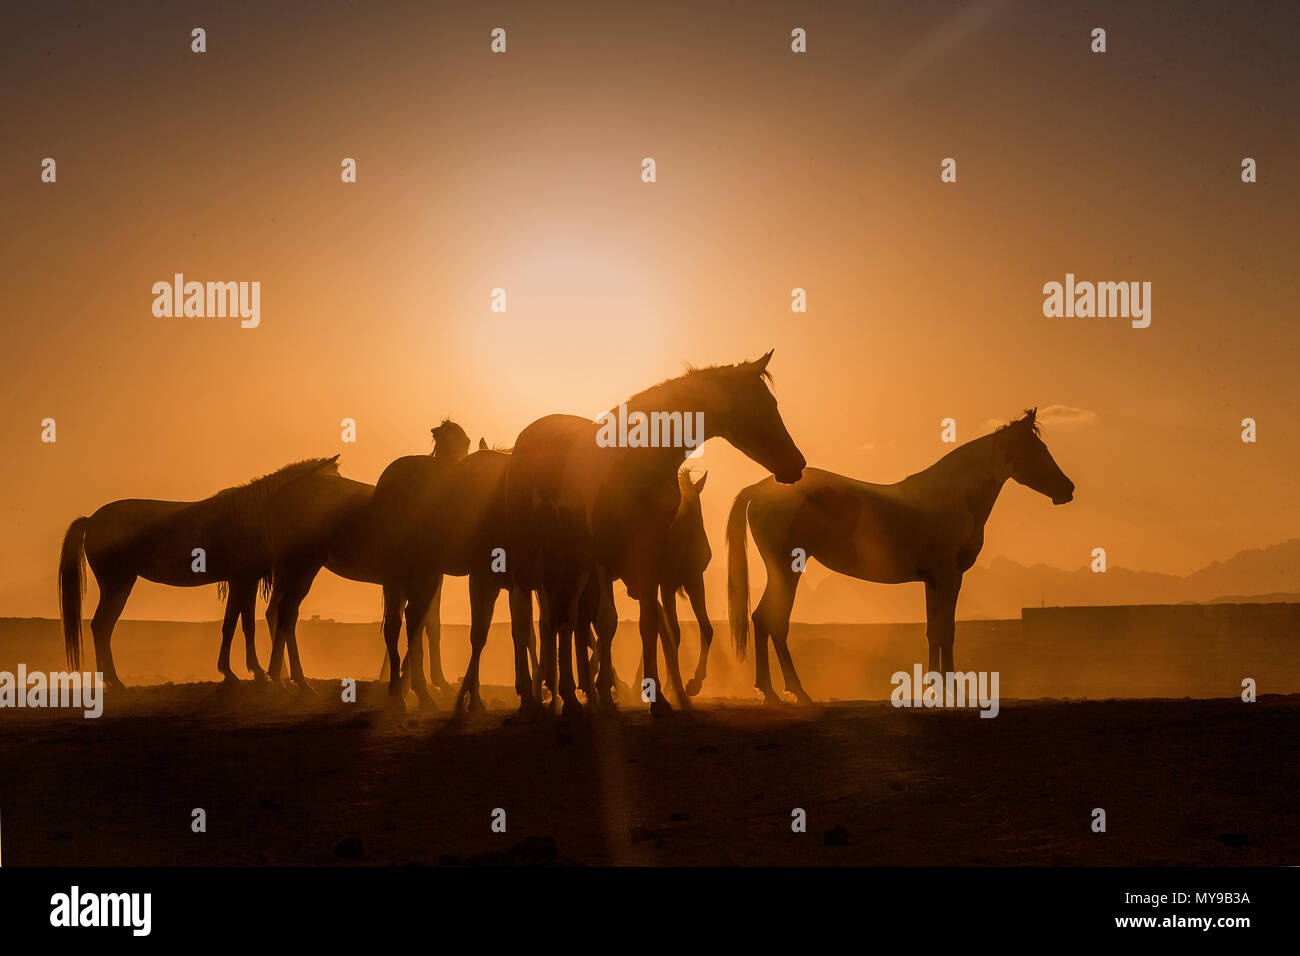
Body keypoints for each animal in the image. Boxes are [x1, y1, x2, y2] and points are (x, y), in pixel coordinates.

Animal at [57, 457, 340, 686]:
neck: (258, 513)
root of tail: (91, 520)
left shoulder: (240, 581)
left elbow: (235, 624)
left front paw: (235, 671)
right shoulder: (244, 581)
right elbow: (242, 625)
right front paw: (251, 672)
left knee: (101, 628)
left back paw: (110, 681)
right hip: (117, 585)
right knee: (102, 627)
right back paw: (114, 681)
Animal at [504, 351, 800, 717]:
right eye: (763, 403)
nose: (796, 464)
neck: (635, 460)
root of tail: (526, 438)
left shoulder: (647, 556)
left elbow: (650, 625)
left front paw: (658, 700)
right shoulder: (604, 556)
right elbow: (607, 622)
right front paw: (610, 697)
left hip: (570, 563)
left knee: (563, 621)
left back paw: (570, 698)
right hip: (530, 556)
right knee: (525, 621)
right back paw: (531, 700)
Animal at [722, 408, 1076, 702]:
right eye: (1037, 450)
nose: (1067, 489)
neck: (954, 497)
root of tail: (760, 488)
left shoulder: (932, 581)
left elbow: (933, 631)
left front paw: (934, 687)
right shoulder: (950, 577)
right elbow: (947, 631)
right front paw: (952, 689)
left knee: (765, 620)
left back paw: (776, 691)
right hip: (786, 570)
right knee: (772, 621)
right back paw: (789, 691)